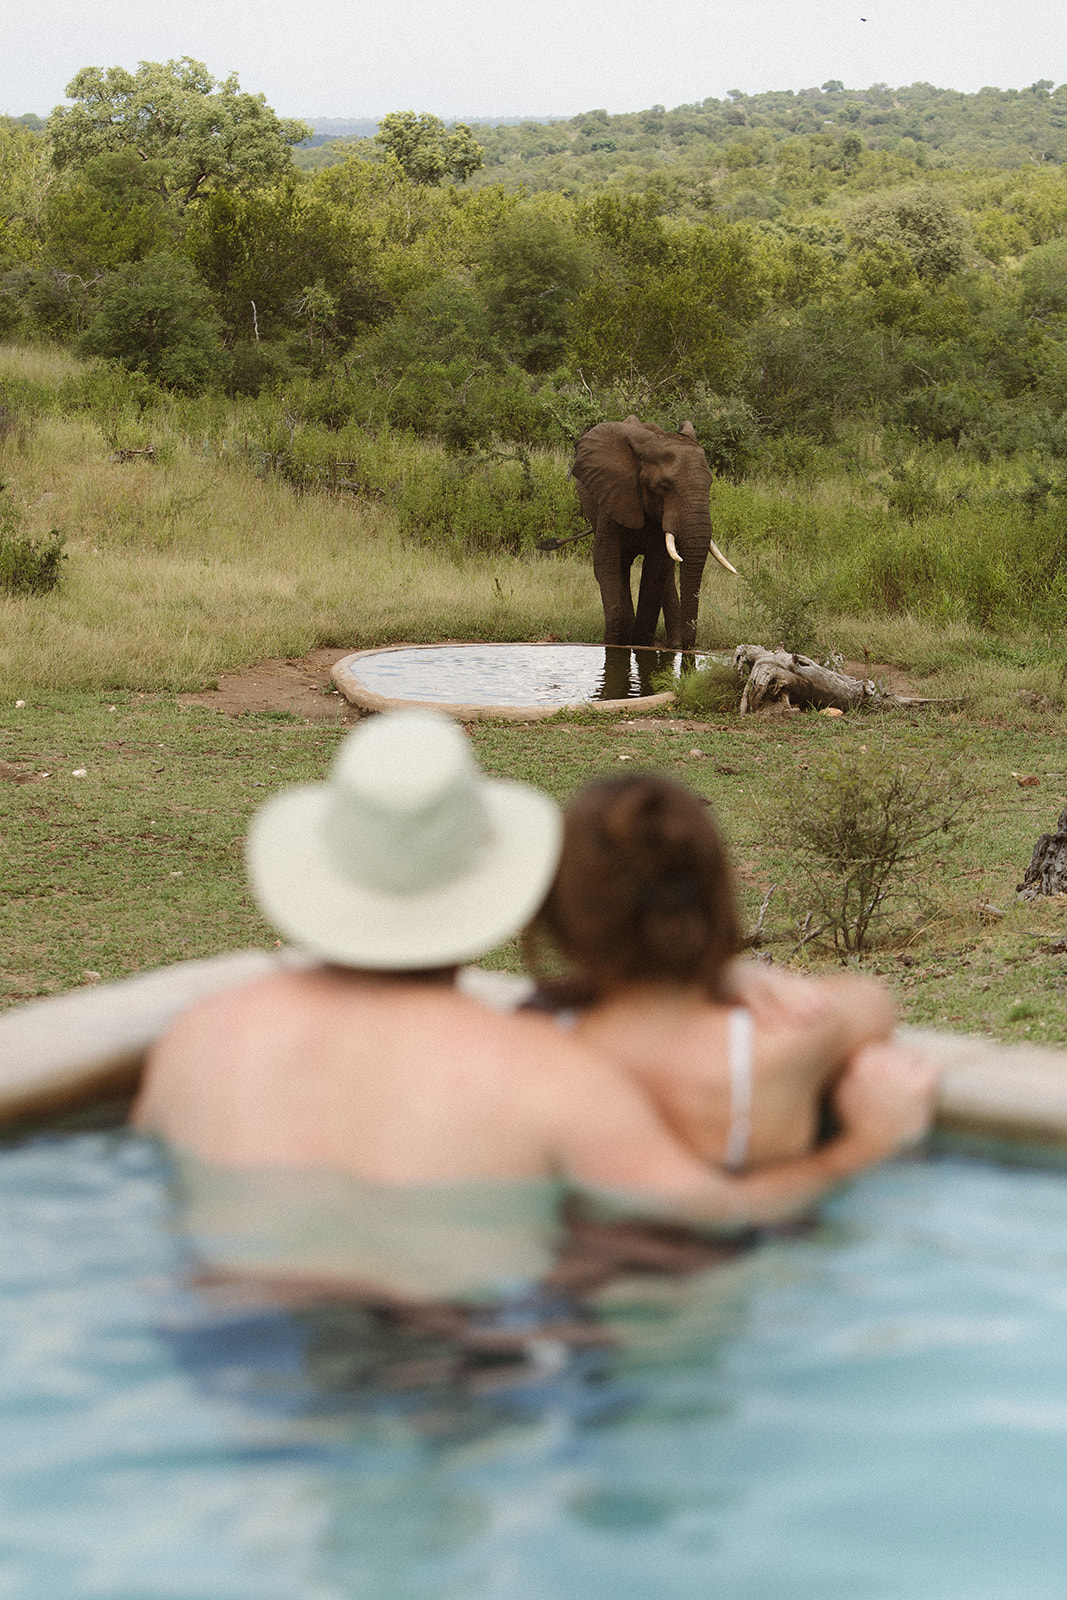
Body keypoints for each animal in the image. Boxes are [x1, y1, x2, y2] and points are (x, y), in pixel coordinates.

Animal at [570, 416, 736, 651]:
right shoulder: (611, 500)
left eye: (710, 485)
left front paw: (641, 642)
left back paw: (673, 643)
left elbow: (656, 569)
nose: (689, 649)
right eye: (663, 487)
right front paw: (616, 643)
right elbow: (607, 563)